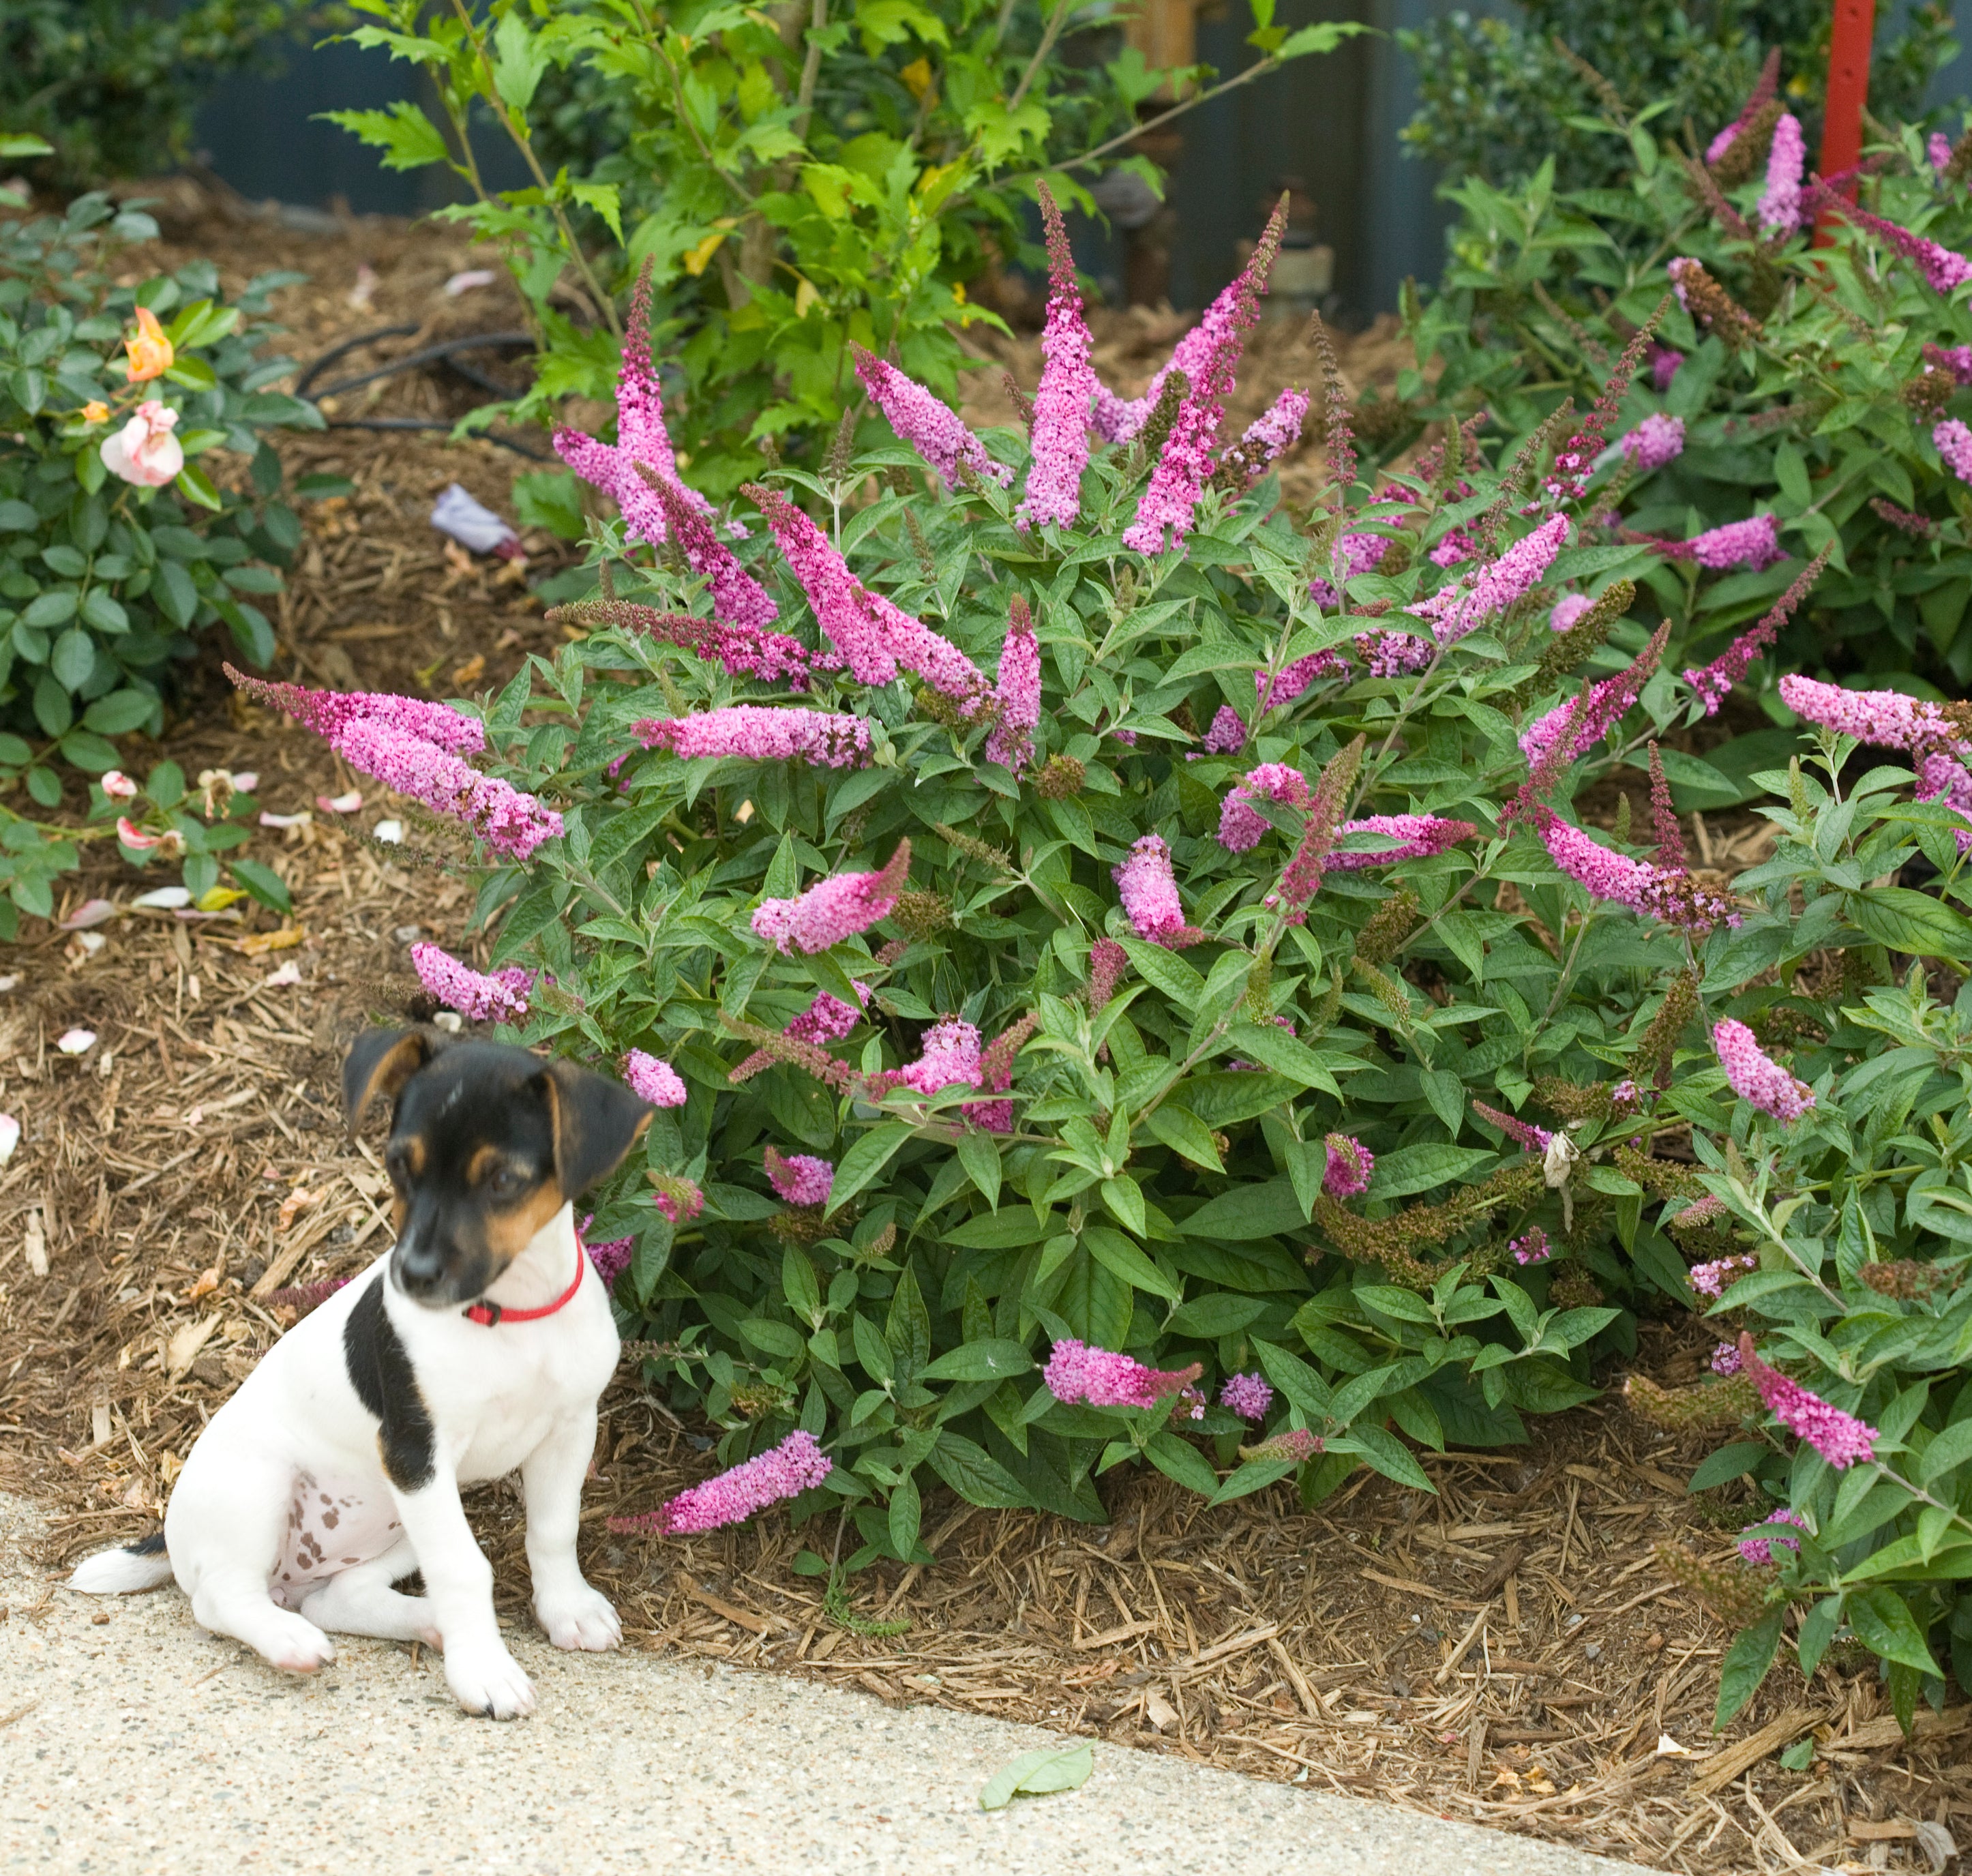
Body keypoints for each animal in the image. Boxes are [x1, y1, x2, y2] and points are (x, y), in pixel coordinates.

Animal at [71, 1033, 655, 1720]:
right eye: (399, 1163)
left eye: (504, 1179)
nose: (413, 1274)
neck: (507, 1316)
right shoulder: (415, 1451)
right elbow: (464, 1568)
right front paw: (484, 1671)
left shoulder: (567, 1428)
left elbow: (554, 1530)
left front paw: (566, 1610)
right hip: (264, 1489)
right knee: (221, 1598)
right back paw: (290, 1640)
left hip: (400, 1520)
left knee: (338, 1594)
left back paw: (424, 1621)